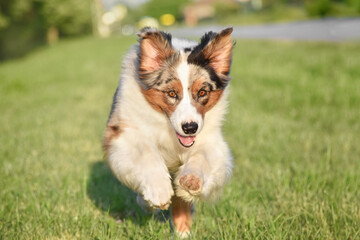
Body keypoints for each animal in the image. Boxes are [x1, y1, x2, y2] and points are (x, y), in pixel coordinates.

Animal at [102, 27, 235, 237]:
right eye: (172, 93)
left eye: (202, 92)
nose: (190, 127)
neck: (167, 126)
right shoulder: (123, 133)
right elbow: (146, 154)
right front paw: (159, 191)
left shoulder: (211, 140)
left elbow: (202, 157)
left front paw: (191, 180)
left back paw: (183, 233)